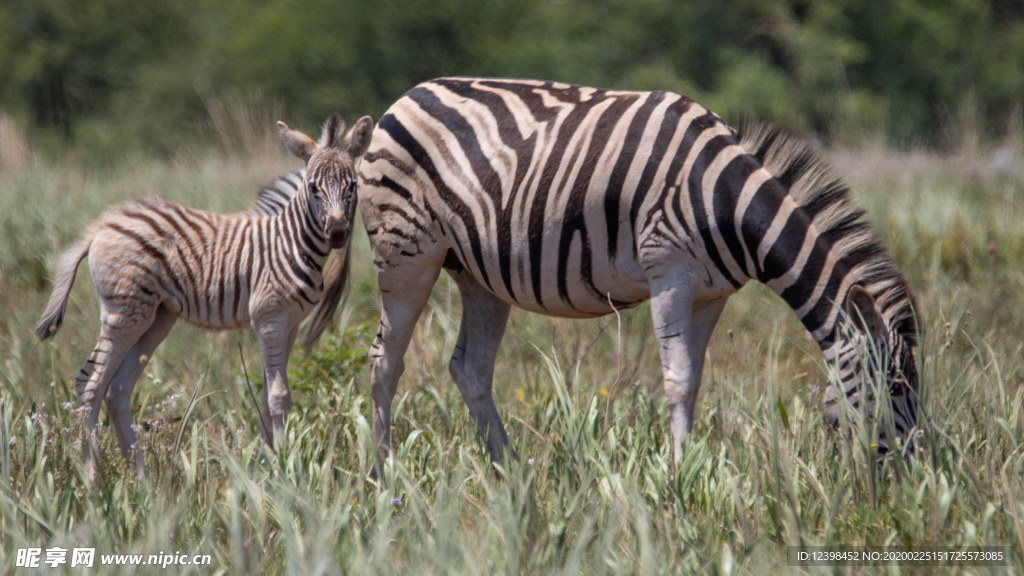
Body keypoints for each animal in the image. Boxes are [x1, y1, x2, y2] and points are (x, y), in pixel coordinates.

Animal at [36, 112, 374, 475]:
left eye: (352, 186)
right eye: (313, 188)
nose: (337, 233)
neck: (291, 241)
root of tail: (103, 225)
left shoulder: (291, 323)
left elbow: (268, 394)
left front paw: (263, 465)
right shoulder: (268, 317)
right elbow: (278, 395)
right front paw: (284, 467)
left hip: (156, 317)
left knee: (118, 389)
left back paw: (140, 477)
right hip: (124, 314)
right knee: (90, 384)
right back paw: (91, 477)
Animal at [352, 75, 921, 461]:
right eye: (895, 388)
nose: (910, 476)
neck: (725, 201)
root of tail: (407, 94)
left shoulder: (711, 293)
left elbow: (694, 380)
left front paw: (689, 466)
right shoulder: (668, 272)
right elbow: (677, 379)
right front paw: (678, 476)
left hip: (477, 274)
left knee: (470, 368)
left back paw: (509, 472)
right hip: (405, 256)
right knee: (385, 360)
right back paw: (384, 472)